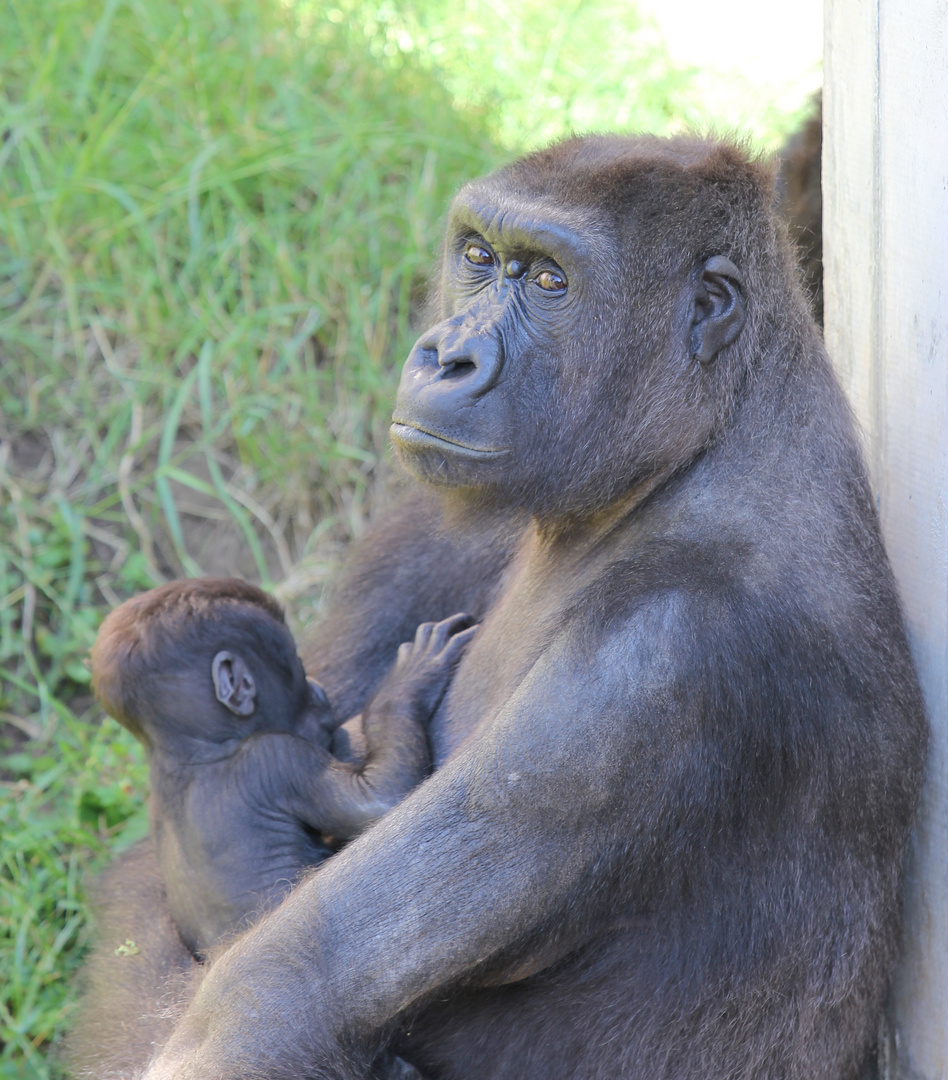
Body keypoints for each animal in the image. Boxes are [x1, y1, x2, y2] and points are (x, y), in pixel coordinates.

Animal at [90, 578, 472, 959]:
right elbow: (378, 799)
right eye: (298, 667)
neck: (189, 752)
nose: (320, 690)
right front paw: (406, 683)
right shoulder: (277, 756)